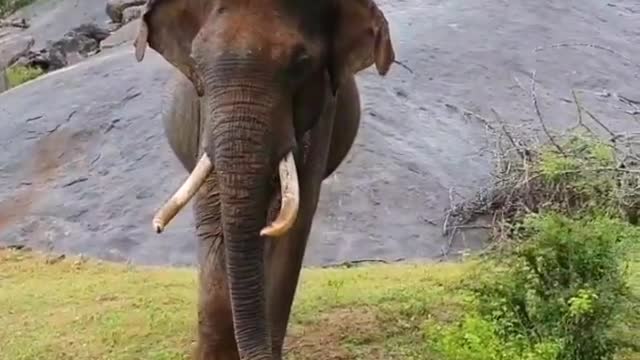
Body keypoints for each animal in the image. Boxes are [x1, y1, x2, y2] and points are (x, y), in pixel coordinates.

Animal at [132, 1, 396, 358]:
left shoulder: (322, 116)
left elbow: (291, 229)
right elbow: (215, 225)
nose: (156, 227)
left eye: (301, 64)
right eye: (196, 63)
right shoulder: (206, 118)